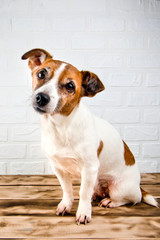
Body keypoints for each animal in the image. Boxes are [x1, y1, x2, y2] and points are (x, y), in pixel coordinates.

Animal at [21, 48, 158, 225]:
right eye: (41, 73)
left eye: (70, 86)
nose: (41, 97)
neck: (62, 127)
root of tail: (138, 186)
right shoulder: (58, 168)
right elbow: (68, 190)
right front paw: (66, 205)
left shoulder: (89, 167)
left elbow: (83, 193)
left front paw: (84, 212)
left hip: (119, 188)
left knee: (131, 199)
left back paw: (110, 201)